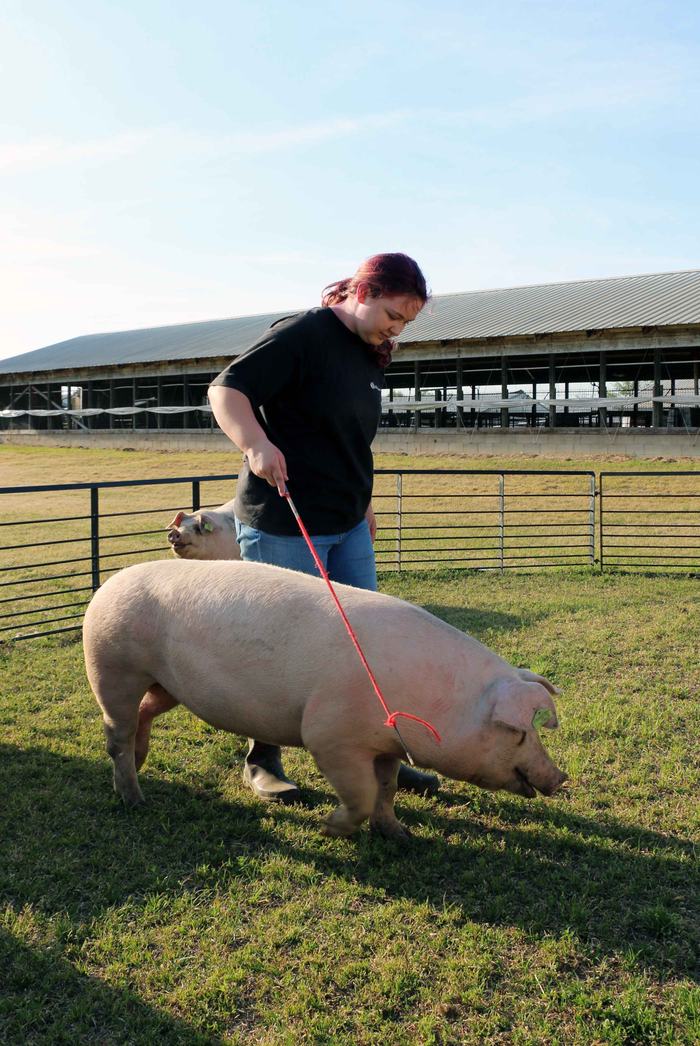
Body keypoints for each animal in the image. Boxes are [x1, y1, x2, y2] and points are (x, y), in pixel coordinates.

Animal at [83, 559, 566, 840]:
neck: (434, 701)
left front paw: (399, 835)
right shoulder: (330, 736)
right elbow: (361, 793)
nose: (561, 778)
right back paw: (135, 799)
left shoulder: (387, 743)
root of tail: (109, 583)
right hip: (113, 666)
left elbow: (387, 788)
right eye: (519, 734)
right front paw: (331, 829)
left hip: (167, 684)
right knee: (116, 733)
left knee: (145, 714)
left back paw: (142, 764)